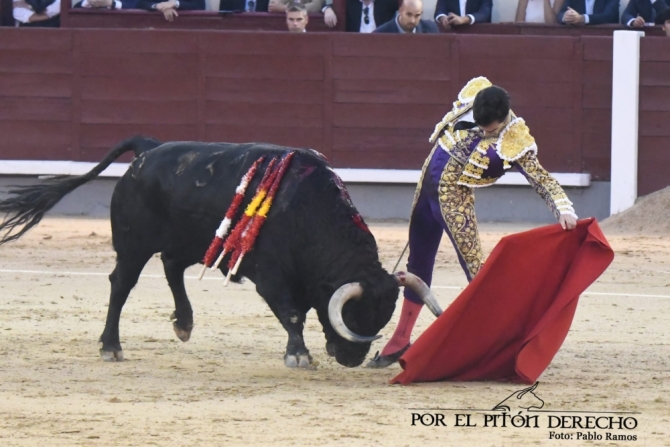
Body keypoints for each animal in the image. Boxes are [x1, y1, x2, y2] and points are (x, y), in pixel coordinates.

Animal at [0, 138, 444, 370]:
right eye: (354, 315)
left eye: (381, 316)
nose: (351, 358)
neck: (310, 211)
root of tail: (148, 148)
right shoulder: (272, 277)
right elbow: (293, 314)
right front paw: (298, 355)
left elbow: (301, 311)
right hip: (133, 245)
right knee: (122, 284)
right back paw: (111, 346)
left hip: (190, 241)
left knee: (172, 267)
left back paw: (184, 323)